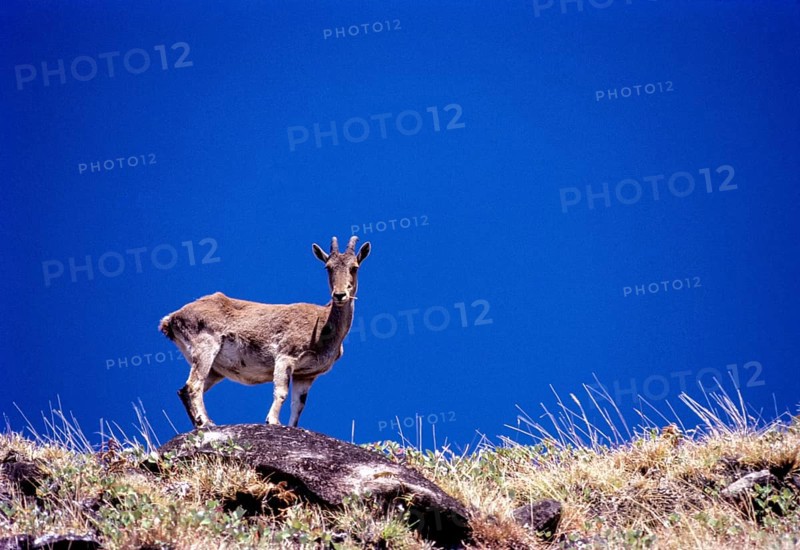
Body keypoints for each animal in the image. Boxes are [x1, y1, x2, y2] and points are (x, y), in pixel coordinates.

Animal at [159, 236, 371, 428]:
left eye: (354, 267)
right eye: (328, 267)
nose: (340, 295)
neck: (322, 325)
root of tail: (172, 319)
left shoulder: (306, 375)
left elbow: (298, 405)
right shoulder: (286, 356)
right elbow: (281, 391)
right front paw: (273, 421)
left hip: (216, 369)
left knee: (184, 390)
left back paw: (200, 424)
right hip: (205, 348)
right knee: (194, 385)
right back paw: (207, 422)